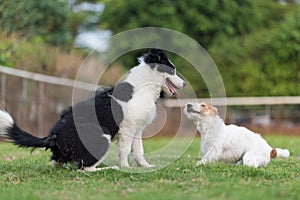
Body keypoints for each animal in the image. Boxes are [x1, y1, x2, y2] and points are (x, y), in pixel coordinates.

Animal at [0, 48, 185, 172]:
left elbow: (139, 151)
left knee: (58, 163)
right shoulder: (127, 129)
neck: (142, 86)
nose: (184, 84)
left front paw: (145, 166)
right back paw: (110, 168)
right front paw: (125, 167)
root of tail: (53, 135)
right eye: (172, 70)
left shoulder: (138, 129)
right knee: (86, 169)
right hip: (103, 137)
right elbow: (125, 150)